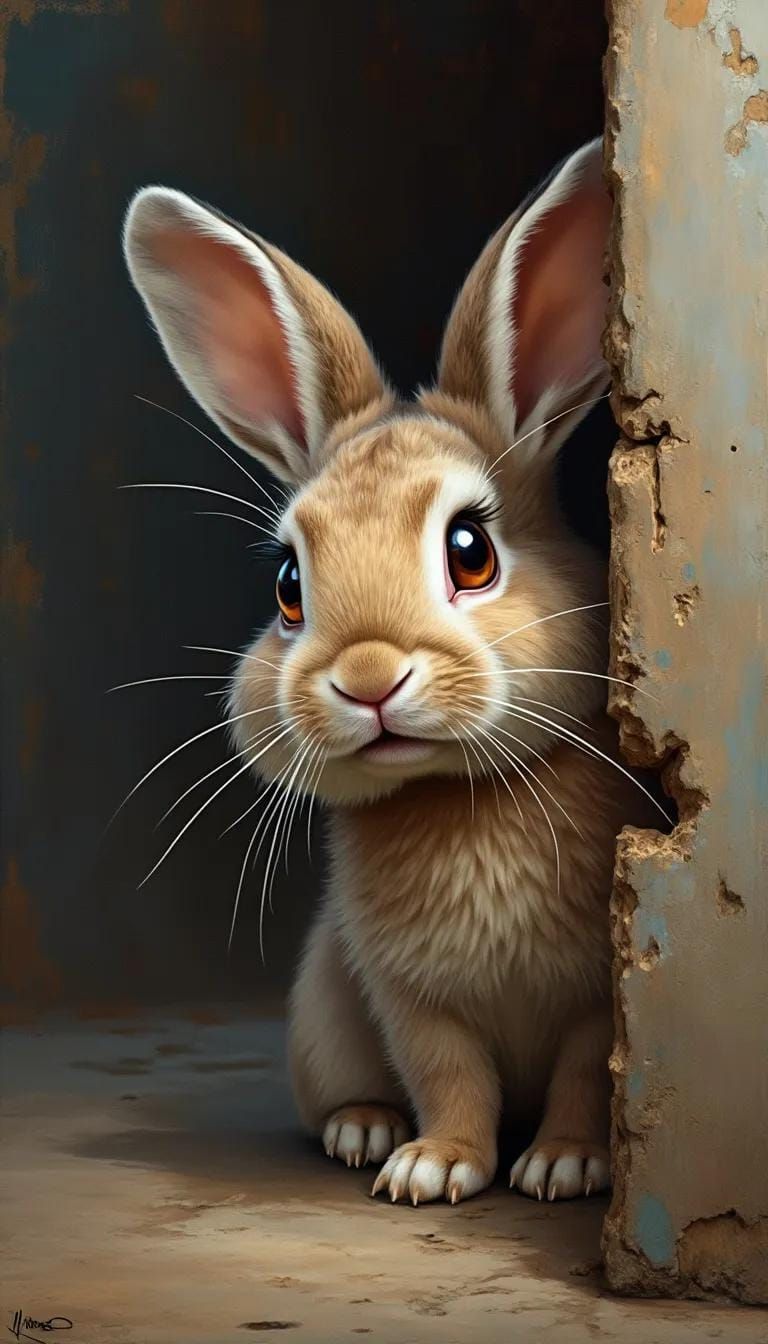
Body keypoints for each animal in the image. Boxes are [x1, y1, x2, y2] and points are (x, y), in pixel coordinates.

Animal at [123, 137, 661, 1206]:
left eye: (470, 551)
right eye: (290, 585)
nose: (368, 679)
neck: (454, 793)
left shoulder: (596, 1003)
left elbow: (585, 1076)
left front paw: (566, 1166)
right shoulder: (407, 999)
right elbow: (448, 1076)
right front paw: (433, 1168)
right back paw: (364, 1131)